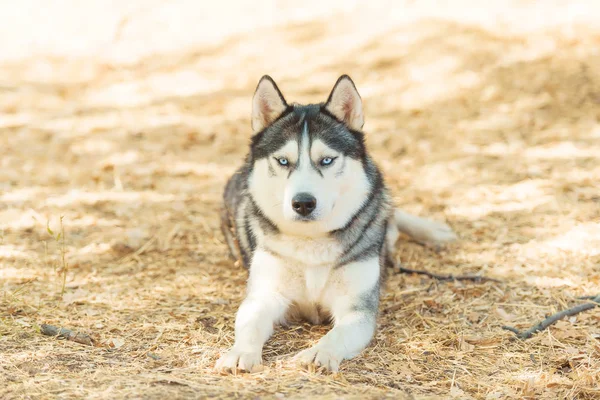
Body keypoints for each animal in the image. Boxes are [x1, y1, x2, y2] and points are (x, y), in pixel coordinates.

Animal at [216, 74, 454, 372]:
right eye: (283, 161)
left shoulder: (356, 308)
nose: (303, 203)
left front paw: (320, 351)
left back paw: (433, 231)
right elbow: (249, 324)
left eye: (327, 160)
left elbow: (337, 334)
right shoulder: (265, 294)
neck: (311, 244)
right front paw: (241, 352)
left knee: (389, 209)